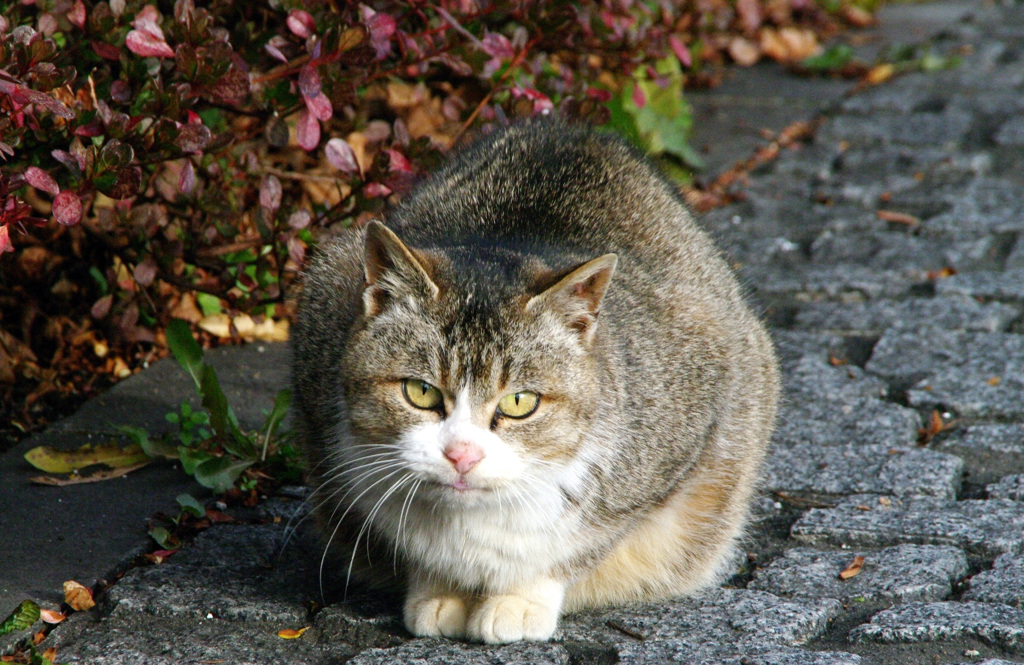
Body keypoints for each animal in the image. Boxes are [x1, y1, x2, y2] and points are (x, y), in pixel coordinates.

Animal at [292, 119, 778, 643]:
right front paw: (438, 589)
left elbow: (576, 548)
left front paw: (518, 598)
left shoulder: (685, 436)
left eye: (520, 402)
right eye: (420, 392)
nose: (462, 455)